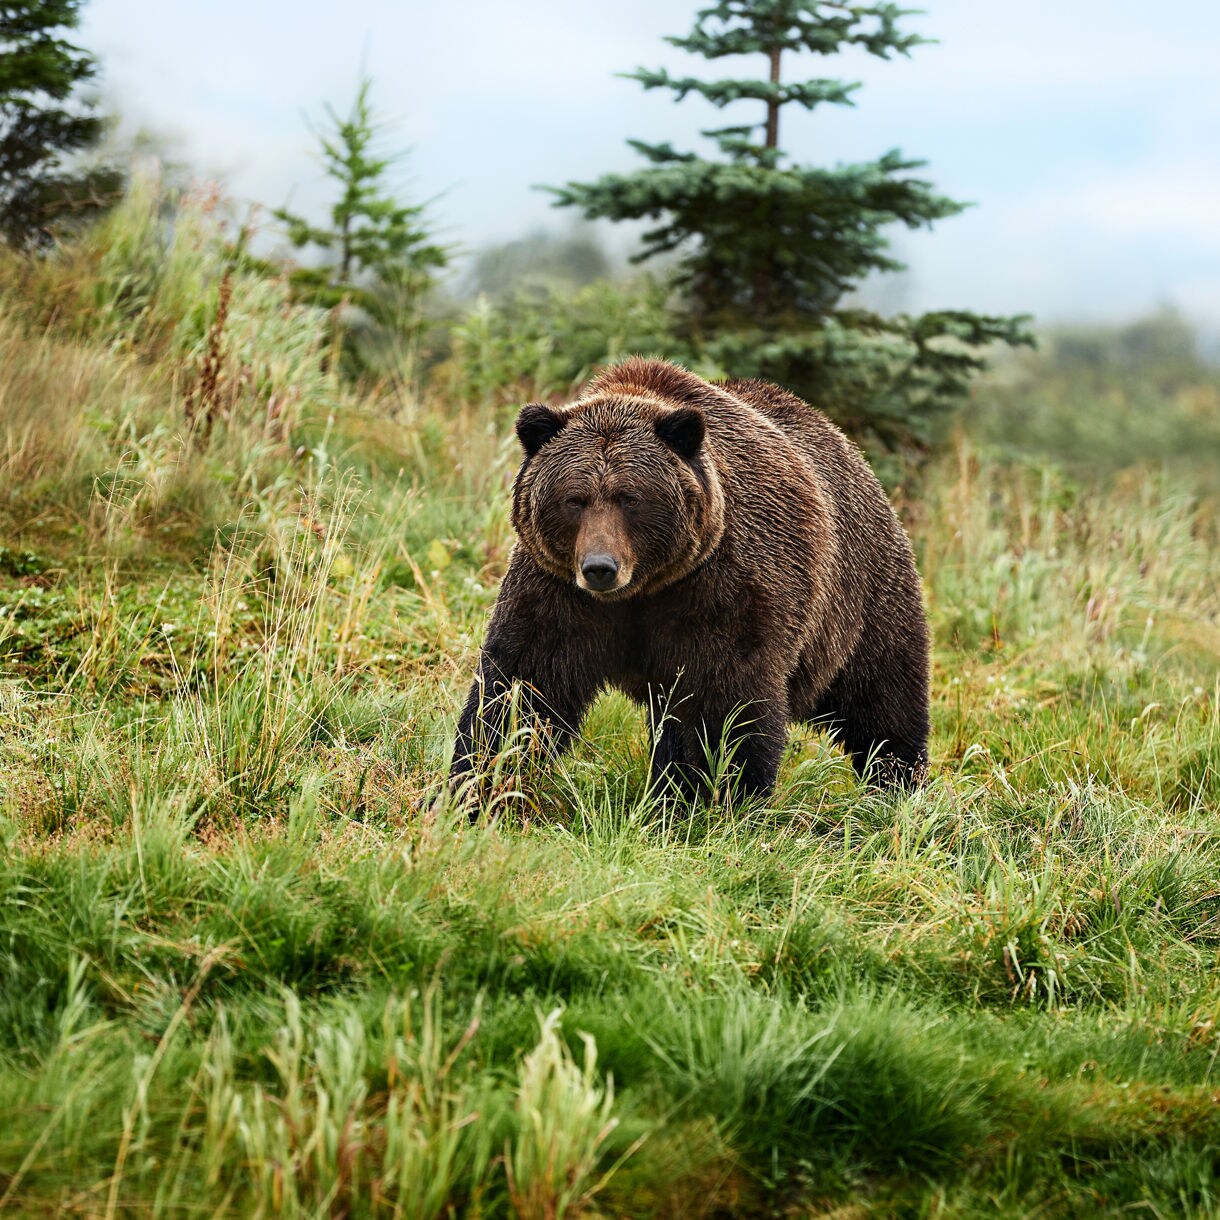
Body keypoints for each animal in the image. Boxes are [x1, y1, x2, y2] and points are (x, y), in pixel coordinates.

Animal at [449, 357, 929, 808]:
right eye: (574, 499)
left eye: (630, 498)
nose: (600, 567)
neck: (641, 591)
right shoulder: (557, 590)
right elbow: (523, 687)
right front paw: (476, 784)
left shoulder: (720, 588)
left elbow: (724, 703)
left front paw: (717, 794)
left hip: (860, 600)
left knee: (882, 700)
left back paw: (898, 784)